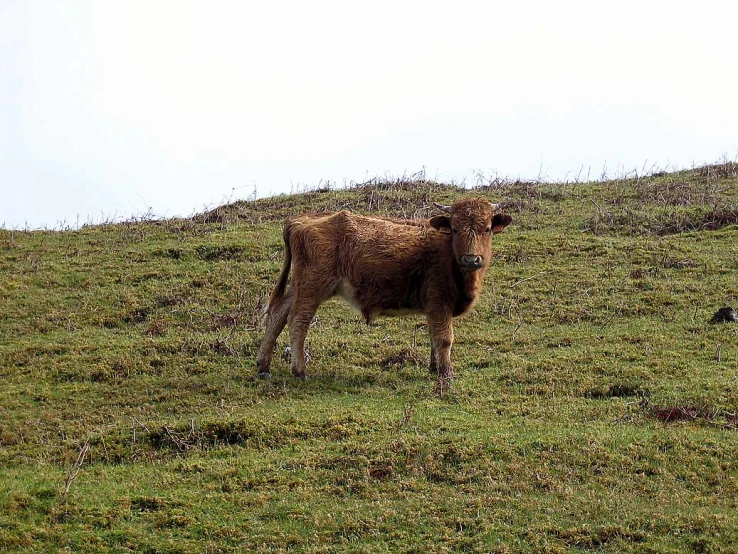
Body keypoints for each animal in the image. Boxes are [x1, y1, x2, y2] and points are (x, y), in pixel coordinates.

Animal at [256, 198, 508, 384]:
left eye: (487, 229)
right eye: (455, 229)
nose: (471, 259)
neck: (447, 250)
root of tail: (299, 221)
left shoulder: (434, 309)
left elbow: (433, 337)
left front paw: (434, 367)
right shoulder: (439, 303)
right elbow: (444, 338)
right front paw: (446, 375)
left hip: (299, 286)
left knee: (278, 315)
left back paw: (263, 367)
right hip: (312, 287)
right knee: (298, 321)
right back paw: (299, 371)